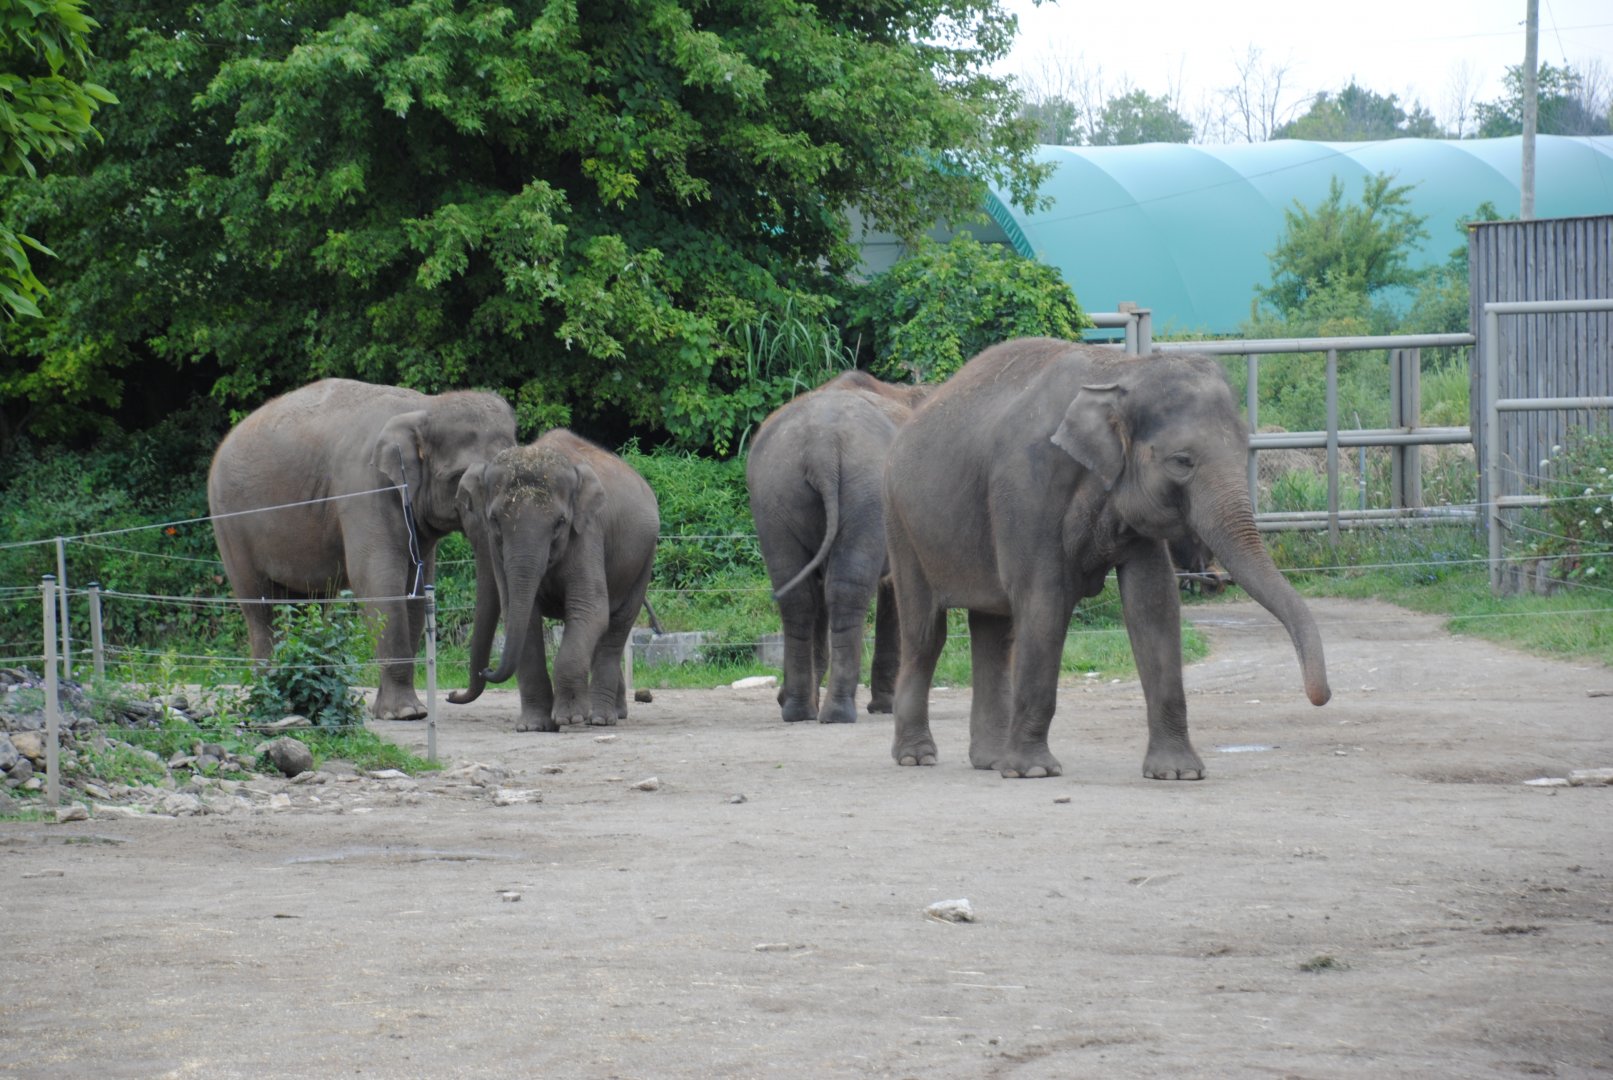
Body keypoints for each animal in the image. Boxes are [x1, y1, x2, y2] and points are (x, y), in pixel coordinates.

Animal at [208, 379, 517, 720]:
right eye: (458, 480)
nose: (452, 694)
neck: (425, 407)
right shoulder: (365, 487)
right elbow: (378, 580)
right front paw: (406, 714)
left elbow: (414, 585)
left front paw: (401, 711)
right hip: (230, 522)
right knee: (260, 605)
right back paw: (270, 696)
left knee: (308, 603)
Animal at [447, 429, 660, 733]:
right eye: (495, 520)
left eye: (560, 522)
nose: (451, 694)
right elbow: (521, 617)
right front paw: (534, 726)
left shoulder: (587, 532)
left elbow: (590, 609)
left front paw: (570, 719)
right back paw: (611, 713)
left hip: (645, 558)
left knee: (616, 627)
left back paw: (601, 719)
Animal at [745, 371, 930, 724]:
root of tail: (822, 447)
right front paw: (886, 707)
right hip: (866, 493)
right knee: (846, 591)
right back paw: (838, 712)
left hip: (775, 491)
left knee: (798, 596)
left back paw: (799, 710)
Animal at [882, 338, 1331, 779]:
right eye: (1181, 461)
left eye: (1244, 451)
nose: (1319, 697)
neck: (1120, 371)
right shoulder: (1027, 484)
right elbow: (1044, 602)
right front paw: (1034, 771)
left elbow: (1153, 603)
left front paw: (1178, 773)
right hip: (902, 527)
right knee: (926, 634)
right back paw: (918, 758)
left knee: (993, 630)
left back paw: (991, 761)